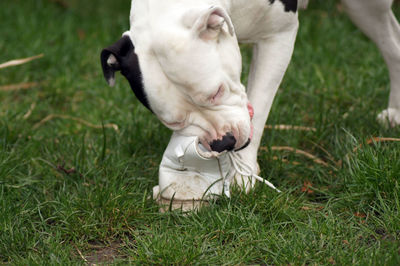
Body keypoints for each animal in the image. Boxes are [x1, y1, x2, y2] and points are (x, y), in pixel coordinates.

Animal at [101, 0, 400, 200]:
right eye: (174, 122)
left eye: (216, 92)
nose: (223, 142)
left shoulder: (278, 36)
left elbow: (260, 105)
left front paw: (243, 173)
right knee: (392, 43)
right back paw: (395, 112)